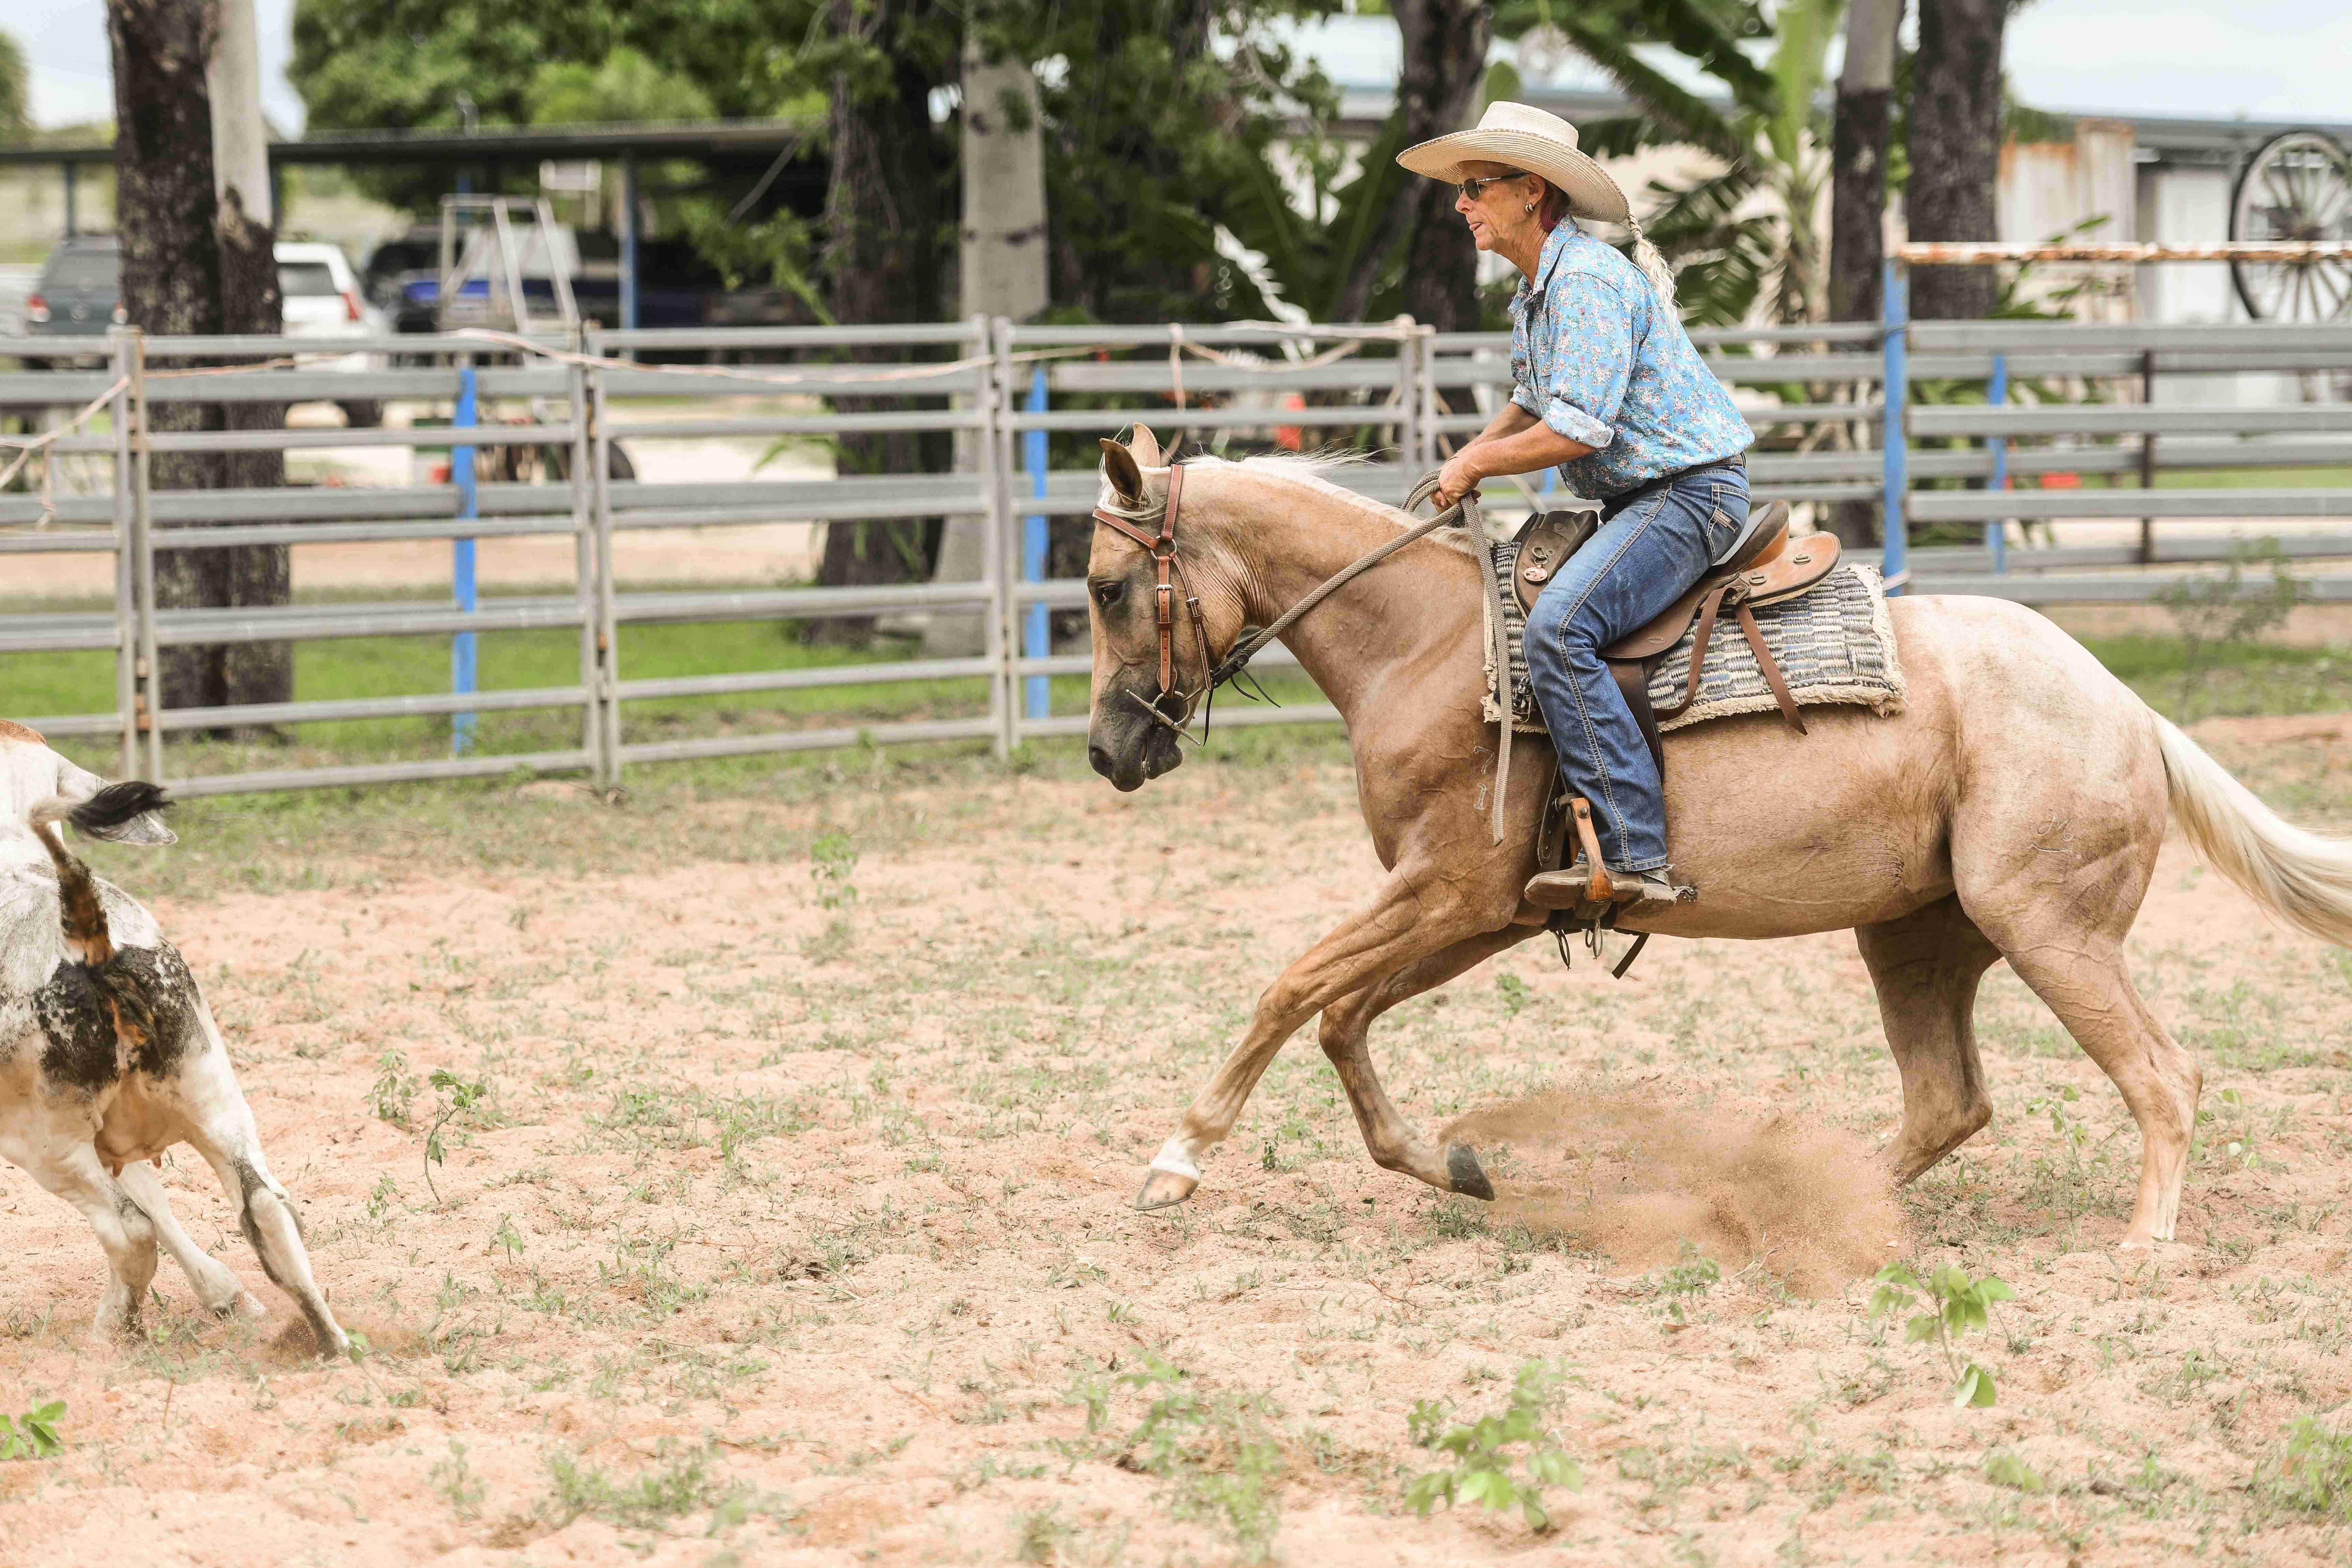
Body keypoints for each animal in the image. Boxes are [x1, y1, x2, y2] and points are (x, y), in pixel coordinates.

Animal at [1081, 430, 2352, 1249]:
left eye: (1101, 586)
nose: (1105, 751)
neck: (1428, 641)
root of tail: (2126, 708)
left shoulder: (1443, 888)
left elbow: (1291, 987)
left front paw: (1173, 1162)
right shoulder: (1483, 910)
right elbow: (1342, 1016)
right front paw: (1450, 1164)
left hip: (2046, 926)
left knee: (2162, 1074)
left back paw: (2138, 1244)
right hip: (1915, 937)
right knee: (1947, 1100)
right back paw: (1782, 1208)